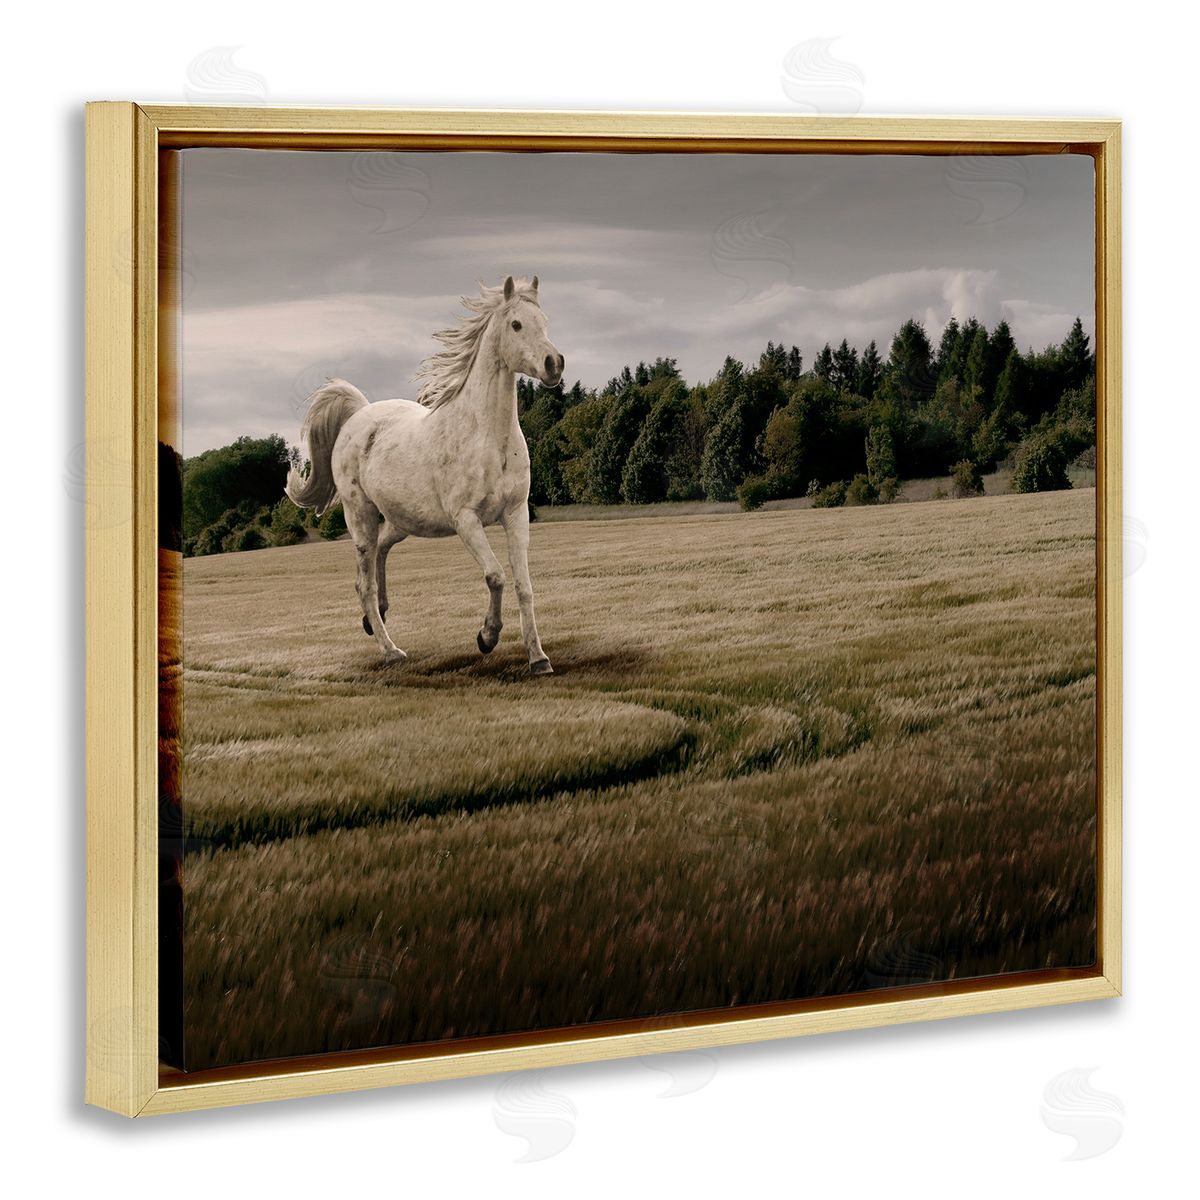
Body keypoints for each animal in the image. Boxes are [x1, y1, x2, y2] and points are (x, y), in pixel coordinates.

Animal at [285, 275, 563, 675]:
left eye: (545, 322)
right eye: (516, 324)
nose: (554, 364)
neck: (486, 436)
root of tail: (359, 415)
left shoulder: (516, 512)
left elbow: (523, 585)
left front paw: (539, 659)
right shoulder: (466, 520)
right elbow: (495, 575)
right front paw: (487, 637)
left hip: (404, 521)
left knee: (380, 554)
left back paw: (377, 617)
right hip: (361, 517)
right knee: (364, 582)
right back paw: (390, 649)